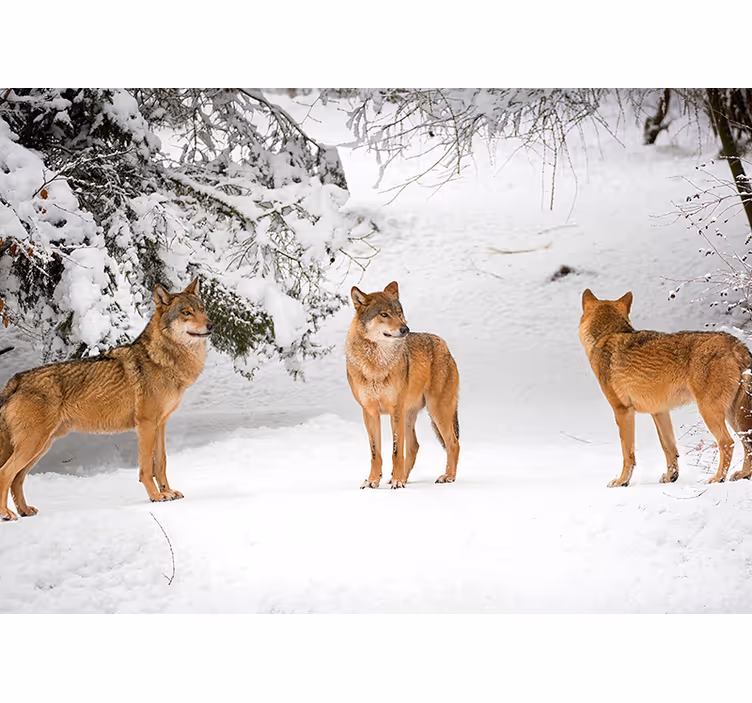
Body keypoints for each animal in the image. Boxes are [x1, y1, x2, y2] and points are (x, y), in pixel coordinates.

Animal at [0, 278, 213, 520]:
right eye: (186, 313)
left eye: (202, 310)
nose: (211, 325)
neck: (163, 360)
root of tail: (15, 380)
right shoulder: (146, 425)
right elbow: (146, 469)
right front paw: (156, 497)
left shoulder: (161, 424)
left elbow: (161, 464)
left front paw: (167, 492)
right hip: (33, 445)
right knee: (5, 473)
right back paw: (6, 514)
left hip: (41, 447)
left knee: (17, 478)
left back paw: (25, 511)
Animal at [345, 281, 460, 489]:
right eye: (384, 314)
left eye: (399, 313)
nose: (405, 329)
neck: (377, 364)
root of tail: (445, 346)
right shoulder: (369, 412)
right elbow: (376, 453)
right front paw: (373, 481)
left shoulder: (395, 409)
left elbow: (396, 451)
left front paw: (397, 481)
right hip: (411, 415)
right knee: (414, 446)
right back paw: (401, 478)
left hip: (437, 411)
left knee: (453, 443)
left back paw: (447, 476)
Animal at [579, 288, 752, 487]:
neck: (606, 336)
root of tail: (736, 344)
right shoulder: (660, 412)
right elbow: (668, 448)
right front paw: (671, 477)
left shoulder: (623, 411)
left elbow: (627, 453)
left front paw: (622, 481)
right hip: (734, 416)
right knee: (747, 442)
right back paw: (743, 475)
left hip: (711, 412)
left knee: (727, 442)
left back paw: (717, 479)